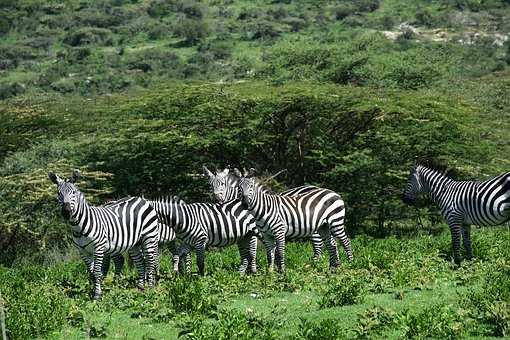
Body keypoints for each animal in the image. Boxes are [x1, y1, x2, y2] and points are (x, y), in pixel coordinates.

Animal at [48, 169, 159, 298]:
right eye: (58, 193)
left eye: (74, 193)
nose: (66, 212)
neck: (79, 228)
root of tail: (141, 199)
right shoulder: (82, 251)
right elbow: (91, 272)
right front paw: (92, 292)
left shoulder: (98, 248)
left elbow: (97, 271)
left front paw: (97, 295)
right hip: (134, 243)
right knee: (140, 261)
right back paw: (140, 288)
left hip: (149, 237)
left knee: (151, 261)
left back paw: (150, 289)